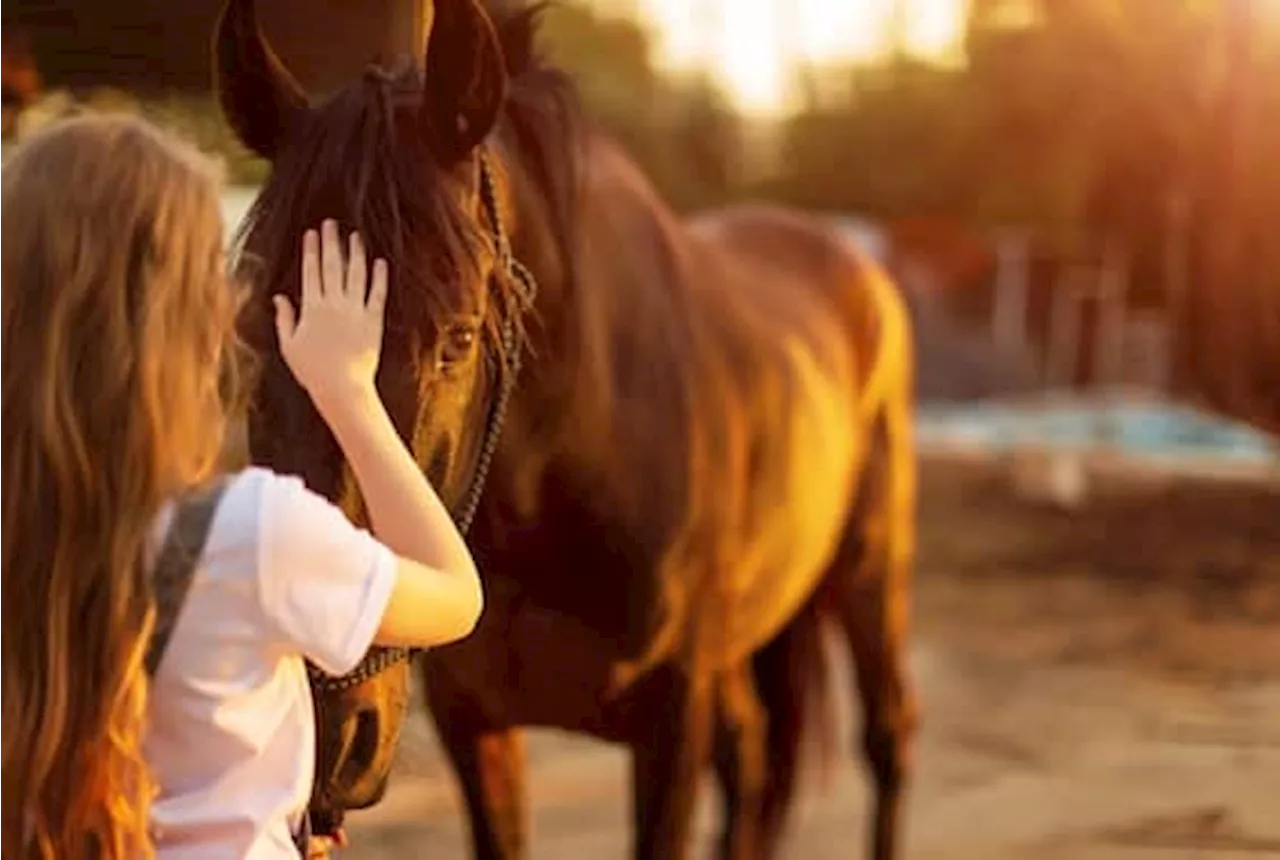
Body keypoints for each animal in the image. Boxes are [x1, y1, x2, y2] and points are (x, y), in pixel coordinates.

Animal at [217, 1, 921, 860]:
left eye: (458, 339)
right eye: (252, 332)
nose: (322, 733)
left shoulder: (671, 720)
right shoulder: (476, 723)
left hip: (870, 572)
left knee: (885, 738)